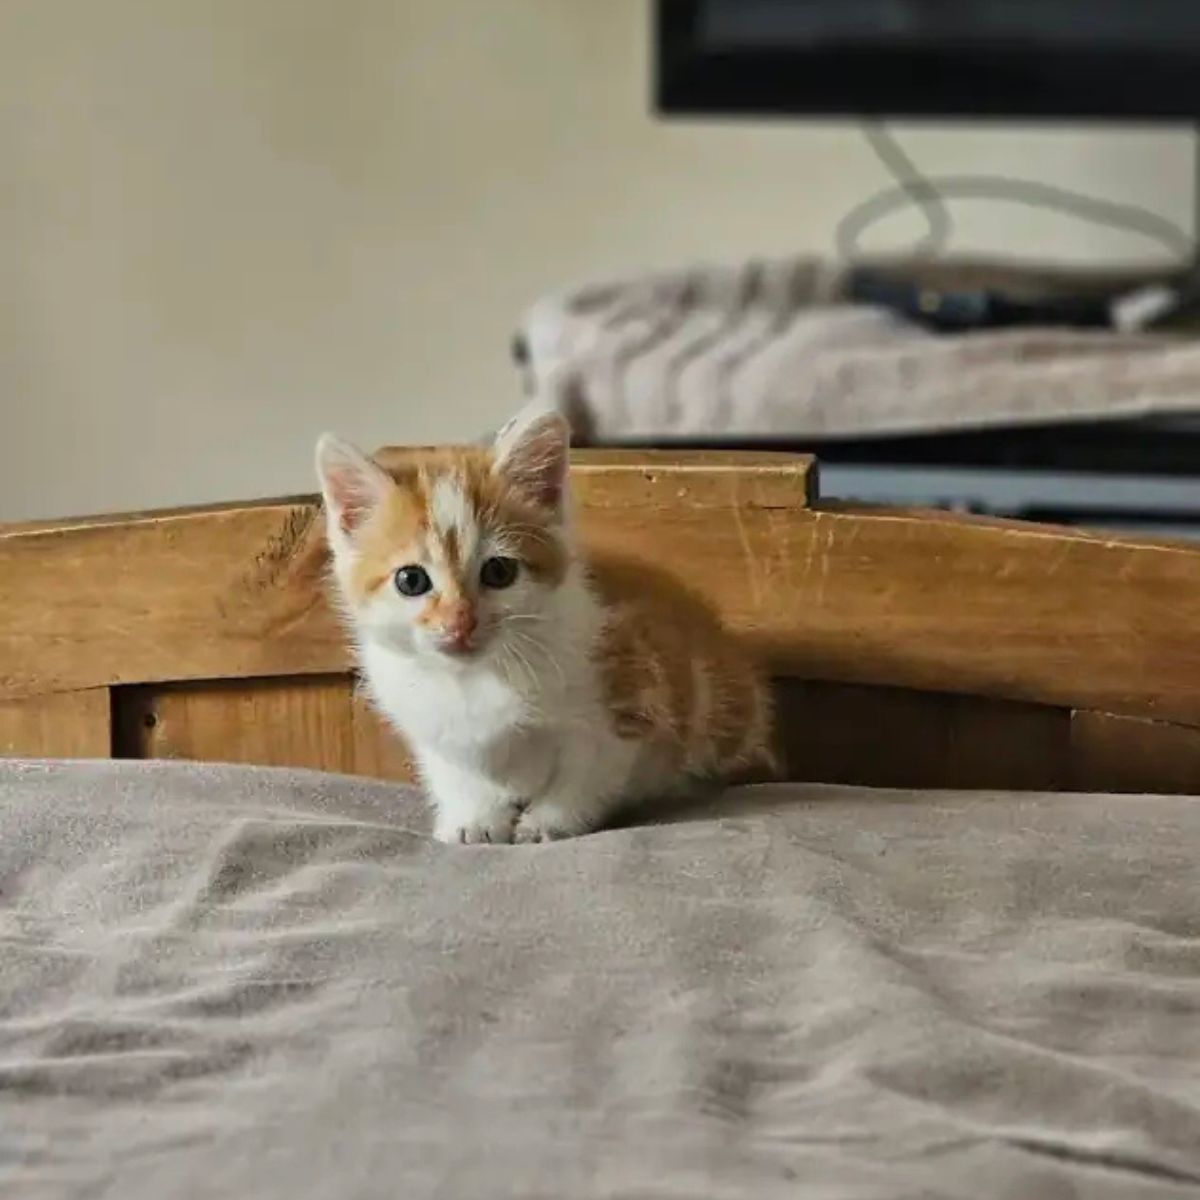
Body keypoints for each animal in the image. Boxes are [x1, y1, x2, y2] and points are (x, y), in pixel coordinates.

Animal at [314, 403, 772, 844]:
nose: (460, 622)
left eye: (499, 572)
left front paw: (548, 822)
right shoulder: (425, 722)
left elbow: (586, 774)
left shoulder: (632, 696)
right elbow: (453, 772)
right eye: (411, 580)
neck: (474, 679)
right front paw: (472, 819)